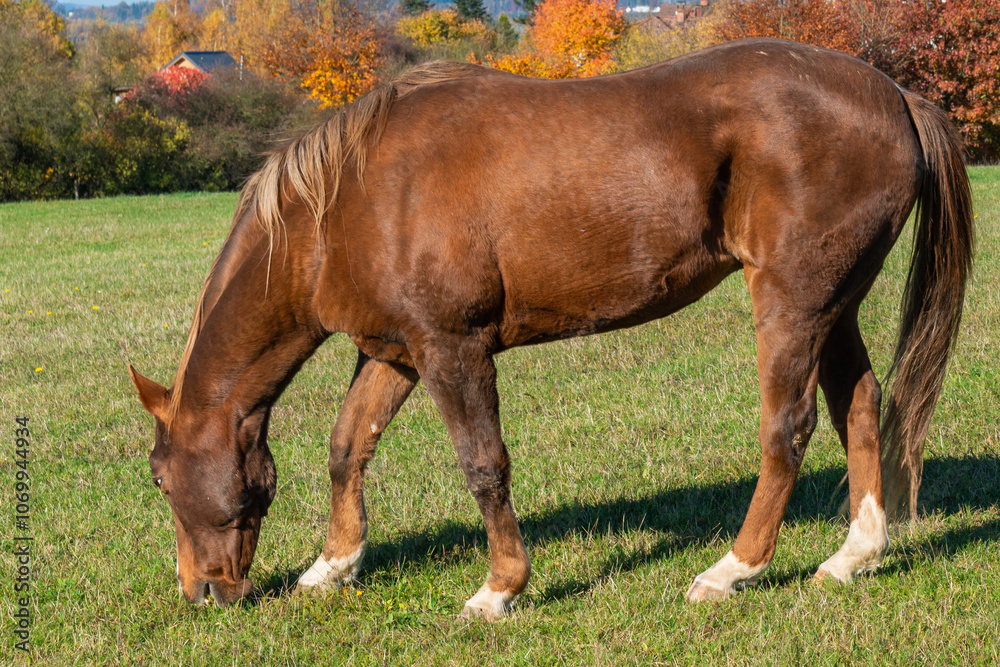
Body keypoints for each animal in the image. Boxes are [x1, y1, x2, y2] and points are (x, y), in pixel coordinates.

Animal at [129, 38, 974, 618]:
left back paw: (733, 568)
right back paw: (853, 556)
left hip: (793, 302)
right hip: (836, 304)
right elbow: (347, 448)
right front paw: (332, 565)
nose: (200, 589)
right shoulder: (395, 352)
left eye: (161, 477)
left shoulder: (454, 349)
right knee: (859, 405)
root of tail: (897, 95)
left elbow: (483, 465)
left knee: (787, 429)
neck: (350, 202)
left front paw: (500, 588)